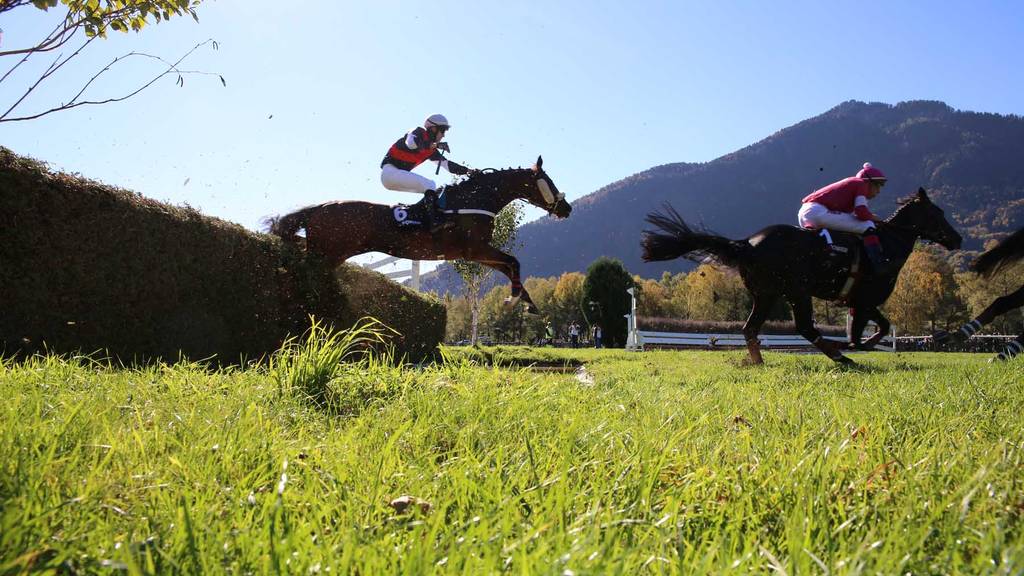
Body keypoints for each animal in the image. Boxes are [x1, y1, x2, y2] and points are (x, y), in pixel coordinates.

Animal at [264, 154, 573, 311]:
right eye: (549, 182)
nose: (566, 208)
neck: (475, 199)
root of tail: (319, 208)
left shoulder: (477, 253)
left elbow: (510, 267)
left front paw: (525, 301)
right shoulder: (475, 249)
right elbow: (513, 262)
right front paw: (515, 298)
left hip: (328, 253)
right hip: (326, 253)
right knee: (300, 270)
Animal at [643, 187, 962, 362]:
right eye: (939, 213)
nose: (957, 239)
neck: (887, 244)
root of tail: (747, 243)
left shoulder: (858, 302)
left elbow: (874, 328)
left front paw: (861, 343)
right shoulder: (865, 299)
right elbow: (871, 331)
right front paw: (856, 345)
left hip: (767, 294)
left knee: (750, 328)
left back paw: (758, 361)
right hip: (797, 290)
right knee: (804, 327)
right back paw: (841, 357)